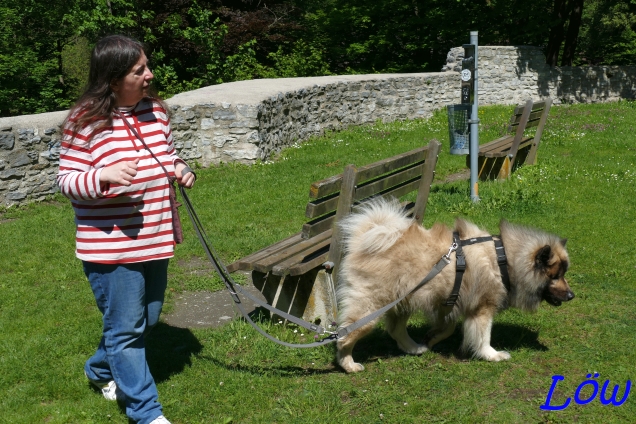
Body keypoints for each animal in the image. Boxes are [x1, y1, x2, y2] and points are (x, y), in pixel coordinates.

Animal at [336, 197, 572, 372]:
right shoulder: (482, 307)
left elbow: (447, 328)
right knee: (344, 335)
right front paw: (492, 355)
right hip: (372, 307)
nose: (571, 295)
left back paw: (414, 348)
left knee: (396, 329)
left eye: (563, 274)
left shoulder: (448, 301)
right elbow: (483, 336)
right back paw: (348, 364)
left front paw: (432, 338)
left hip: (405, 299)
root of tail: (362, 241)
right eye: (555, 276)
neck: (504, 259)